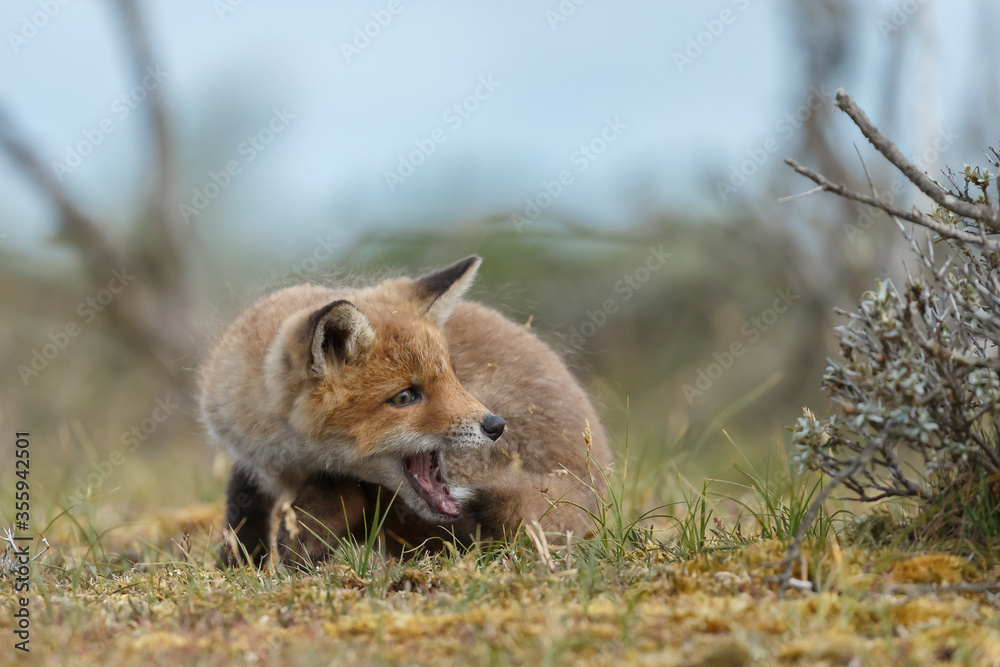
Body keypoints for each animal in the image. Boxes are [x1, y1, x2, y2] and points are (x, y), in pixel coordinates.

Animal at [197, 255, 611, 566]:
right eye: (404, 397)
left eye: (452, 377)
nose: (495, 425)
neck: (289, 454)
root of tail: (596, 485)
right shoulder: (248, 457)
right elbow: (240, 520)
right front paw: (237, 567)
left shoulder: (337, 479)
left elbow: (324, 498)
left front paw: (296, 553)